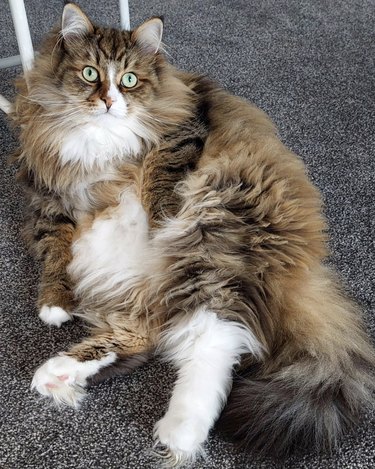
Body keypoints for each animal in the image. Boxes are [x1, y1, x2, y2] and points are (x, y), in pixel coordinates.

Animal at [11, 1, 375, 466]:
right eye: (91, 73)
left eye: (129, 80)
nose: (109, 101)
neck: (102, 141)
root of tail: (304, 266)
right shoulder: (48, 199)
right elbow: (55, 254)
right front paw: (55, 306)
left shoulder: (183, 129)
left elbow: (159, 176)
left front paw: (158, 219)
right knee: (143, 339)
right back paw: (58, 373)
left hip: (211, 240)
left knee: (213, 339)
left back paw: (180, 433)